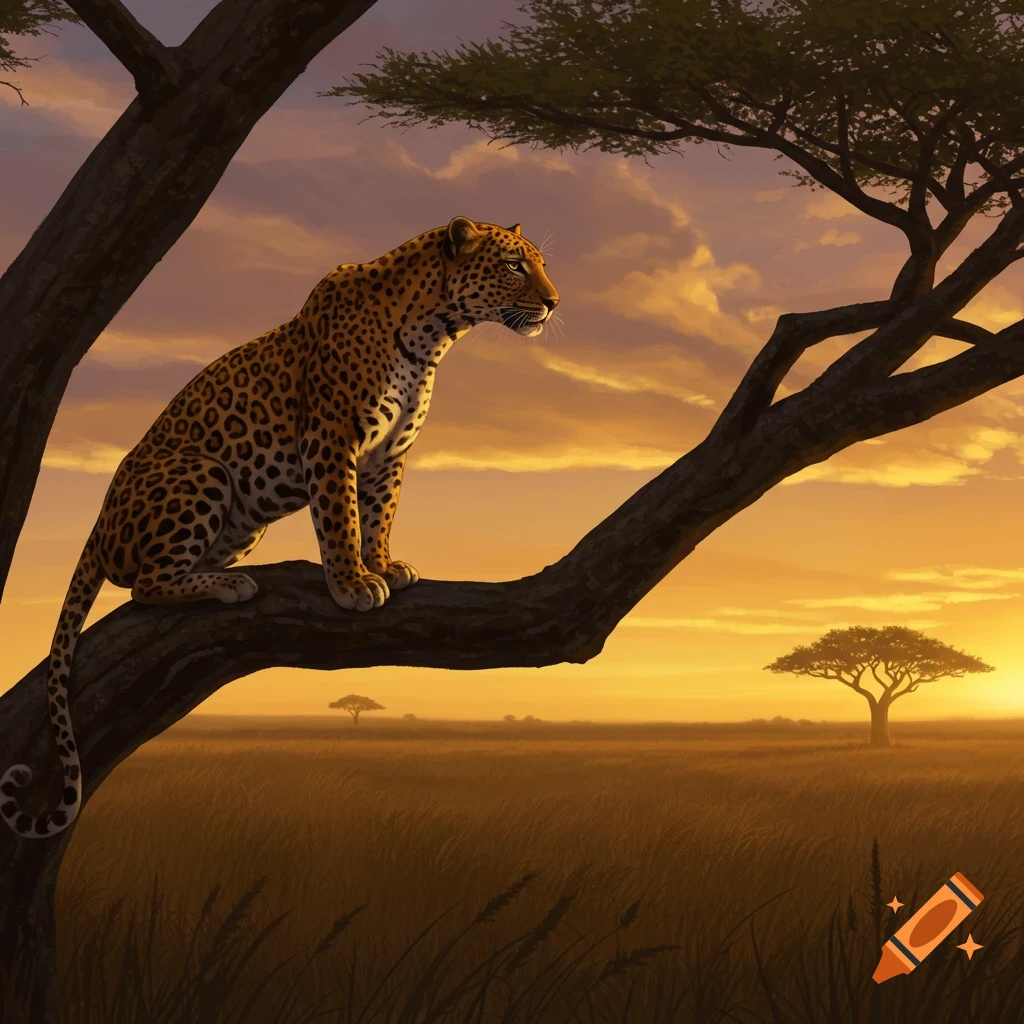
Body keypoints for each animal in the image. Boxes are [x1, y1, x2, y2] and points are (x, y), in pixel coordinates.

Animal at [1, 216, 559, 839]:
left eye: (539, 264)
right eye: (513, 265)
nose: (554, 302)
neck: (433, 333)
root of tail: (98, 525)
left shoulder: (390, 454)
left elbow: (380, 515)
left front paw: (384, 564)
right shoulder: (330, 438)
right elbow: (341, 518)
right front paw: (352, 584)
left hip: (241, 525)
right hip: (204, 471)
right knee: (144, 583)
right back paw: (228, 585)